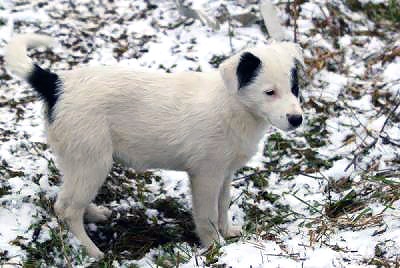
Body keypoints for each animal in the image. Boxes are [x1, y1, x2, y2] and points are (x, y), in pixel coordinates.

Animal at [4, 19, 304, 258]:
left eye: (295, 88)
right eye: (269, 92)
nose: (297, 119)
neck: (234, 104)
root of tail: (57, 85)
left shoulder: (225, 173)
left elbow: (223, 205)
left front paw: (228, 232)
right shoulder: (206, 175)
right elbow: (207, 216)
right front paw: (214, 247)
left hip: (77, 160)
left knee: (66, 200)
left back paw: (94, 213)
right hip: (93, 161)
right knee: (67, 210)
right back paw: (93, 252)